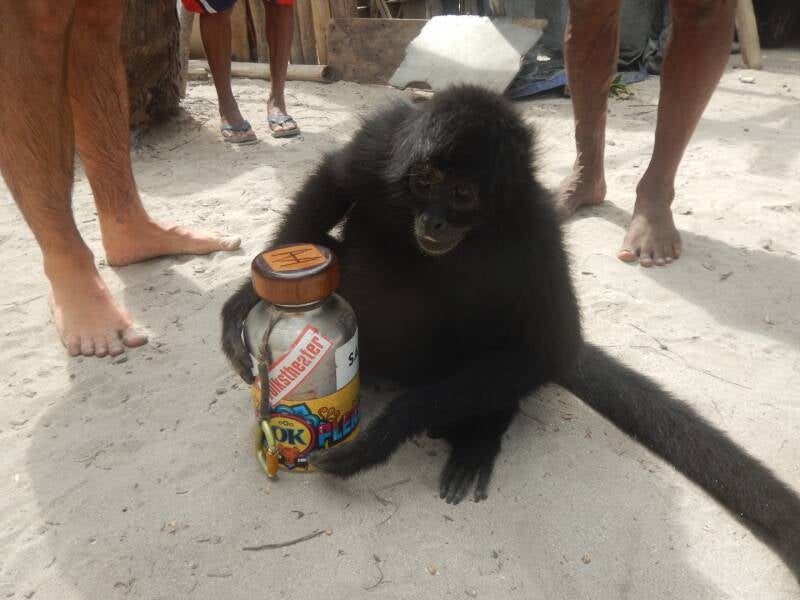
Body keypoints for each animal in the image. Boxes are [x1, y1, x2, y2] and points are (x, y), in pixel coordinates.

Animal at [221, 85, 800, 578]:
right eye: (424, 182)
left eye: (461, 193)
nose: (433, 222)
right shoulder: (382, 147)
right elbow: (337, 176)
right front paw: (249, 296)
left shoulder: (536, 227)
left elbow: (551, 345)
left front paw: (383, 437)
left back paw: (480, 431)